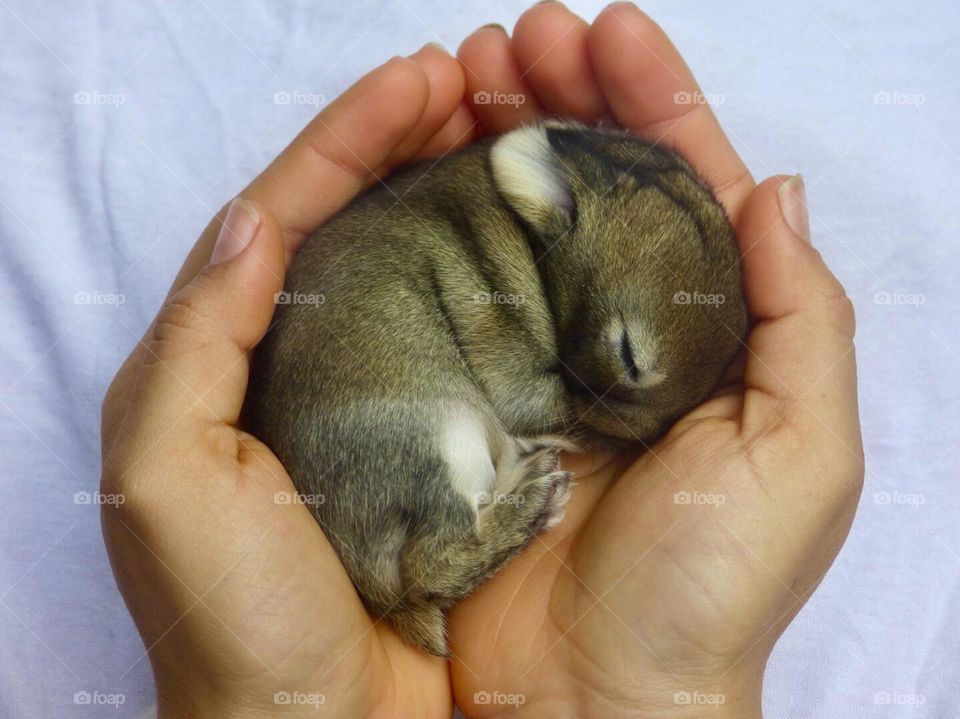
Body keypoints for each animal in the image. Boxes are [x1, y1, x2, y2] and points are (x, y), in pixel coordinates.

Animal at [244, 121, 748, 656]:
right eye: (627, 353)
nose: (627, 440)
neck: (532, 245)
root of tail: (372, 586)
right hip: (443, 433)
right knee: (430, 566)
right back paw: (536, 498)